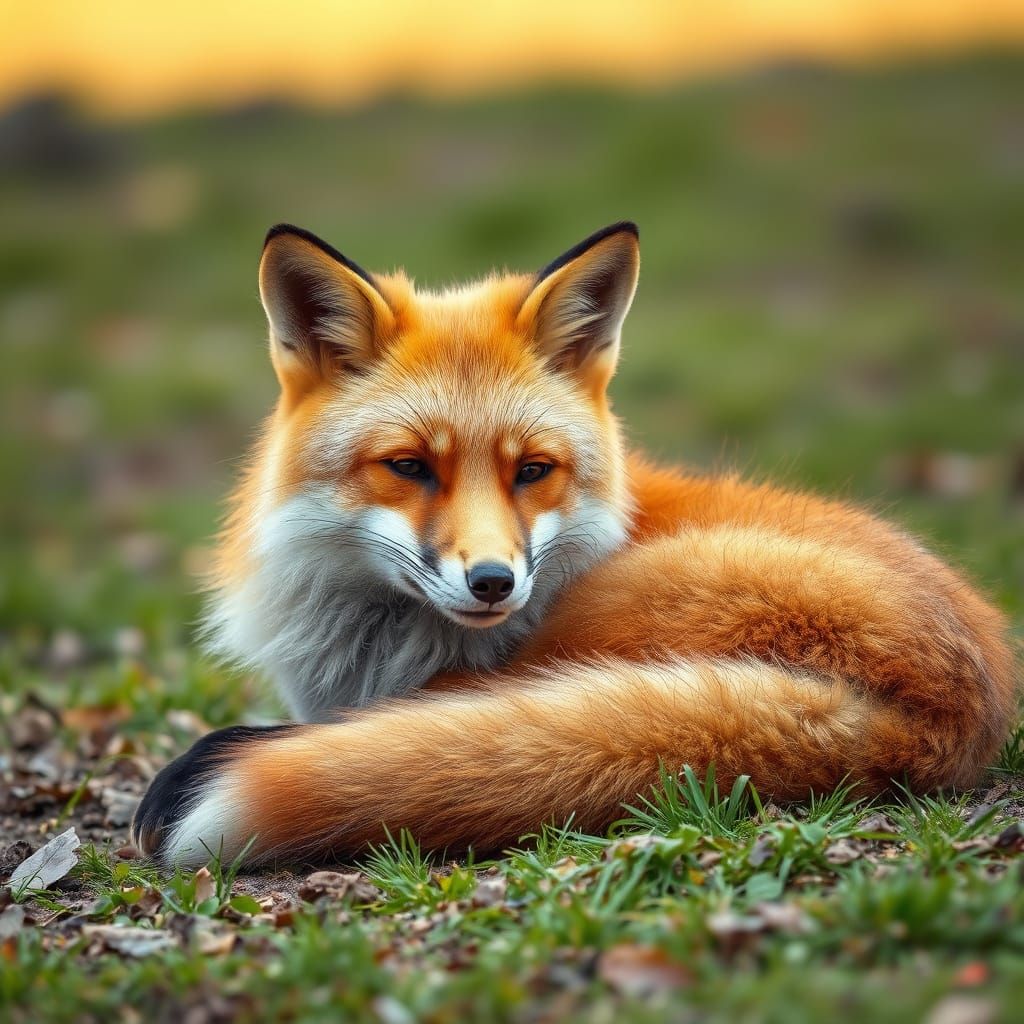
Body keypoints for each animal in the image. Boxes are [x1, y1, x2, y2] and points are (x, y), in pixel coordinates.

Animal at [133, 221, 1017, 868]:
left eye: (533, 470)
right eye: (410, 466)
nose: (494, 582)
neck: (376, 645)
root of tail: (943, 720)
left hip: (602, 618)